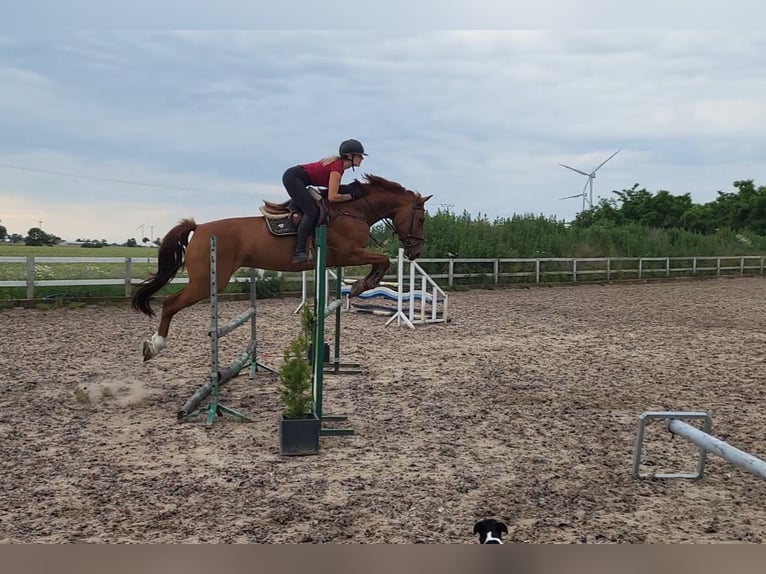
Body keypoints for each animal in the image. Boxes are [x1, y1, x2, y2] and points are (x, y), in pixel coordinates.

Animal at [132, 173, 432, 362]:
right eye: (421, 219)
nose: (416, 252)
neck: (353, 210)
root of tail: (200, 228)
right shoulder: (349, 254)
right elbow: (383, 260)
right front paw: (362, 285)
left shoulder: (344, 258)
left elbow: (381, 260)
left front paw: (361, 285)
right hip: (205, 283)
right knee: (170, 304)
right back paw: (154, 346)